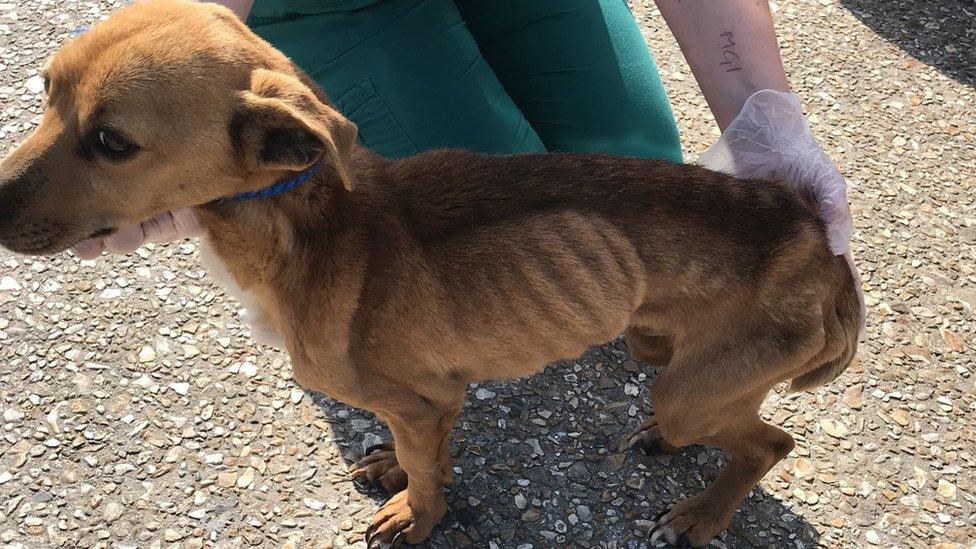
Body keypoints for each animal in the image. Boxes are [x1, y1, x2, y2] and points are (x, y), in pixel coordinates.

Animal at [0, 2, 856, 544]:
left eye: (112, 142)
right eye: (43, 89)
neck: (306, 226)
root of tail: (818, 242)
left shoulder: (423, 398)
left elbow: (426, 466)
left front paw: (419, 514)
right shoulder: (430, 398)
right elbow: (426, 453)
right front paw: (404, 475)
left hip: (693, 389)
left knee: (770, 442)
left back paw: (702, 514)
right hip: (669, 357)